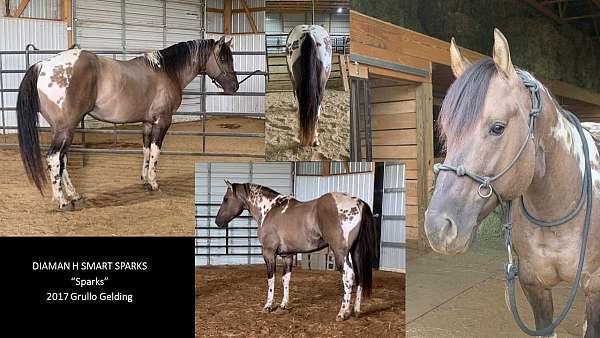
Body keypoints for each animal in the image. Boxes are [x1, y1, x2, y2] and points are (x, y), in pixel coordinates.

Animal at [15, 36, 239, 209]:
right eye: (222, 57)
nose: (234, 87)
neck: (167, 71)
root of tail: (43, 65)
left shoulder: (147, 123)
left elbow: (146, 151)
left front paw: (145, 180)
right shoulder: (163, 121)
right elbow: (156, 151)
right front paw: (154, 183)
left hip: (63, 129)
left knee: (63, 159)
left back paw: (74, 195)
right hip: (65, 129)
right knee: (54, 158)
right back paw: (62, 201)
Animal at [214, 181, 376, 320]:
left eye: (225, 199)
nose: (217, 222)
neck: (269, 210)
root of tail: (358, 203)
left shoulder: (269, 253)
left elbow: (271, 278)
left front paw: (268, 306)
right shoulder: (287, 255)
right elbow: (286, 278)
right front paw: (283, 305)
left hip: (341, 254)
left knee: (348, 277)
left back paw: (343, 312)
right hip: (355, 252)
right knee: (360, 277)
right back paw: (356, 310)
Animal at [424, 27, 600, 336]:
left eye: (498, 127)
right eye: (445, 129)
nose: (437, 228)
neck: (558, 211)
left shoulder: (595, 287)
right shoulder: (534, 285)